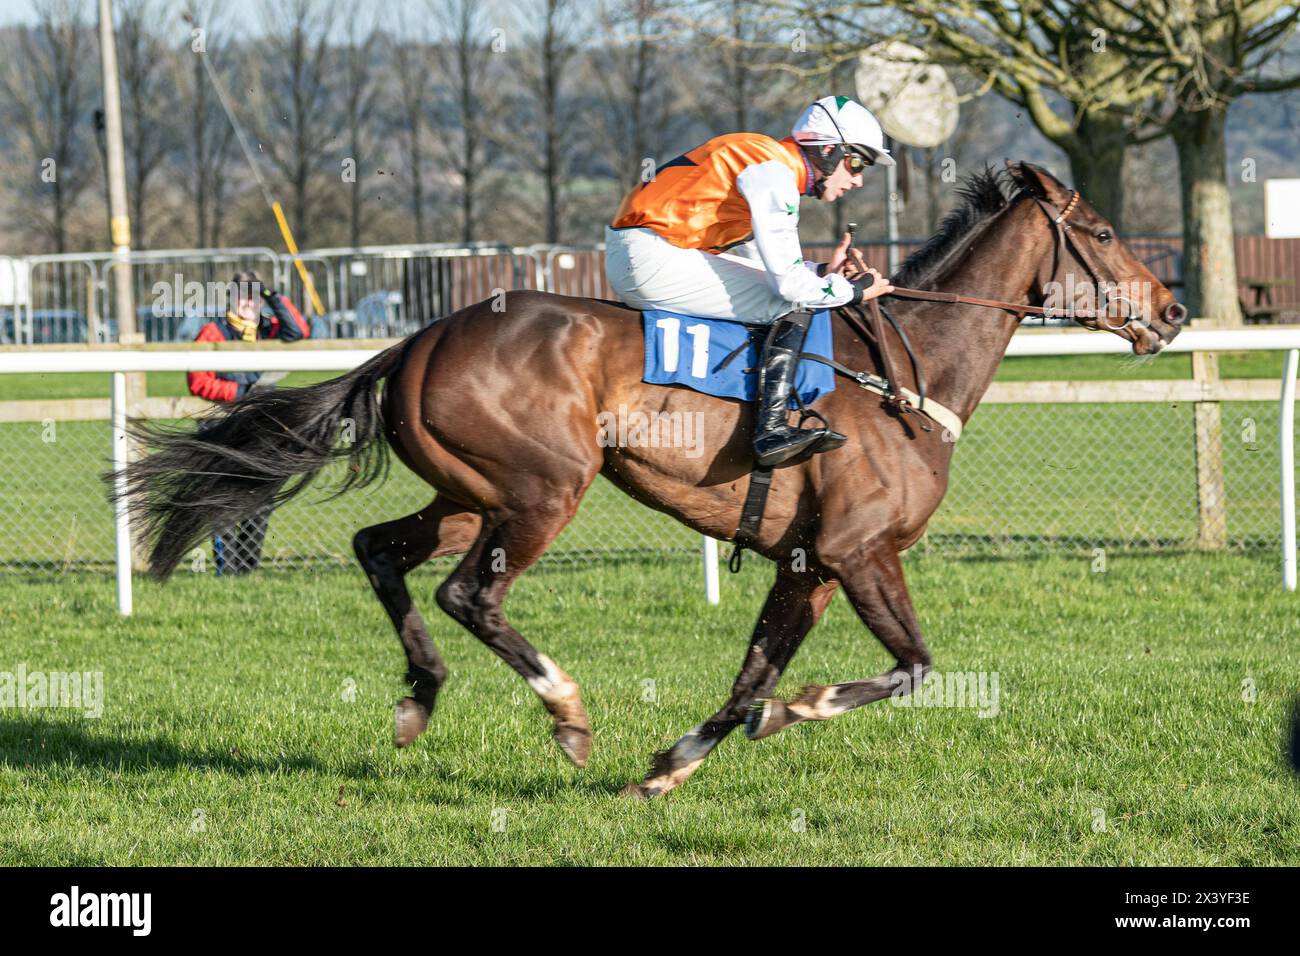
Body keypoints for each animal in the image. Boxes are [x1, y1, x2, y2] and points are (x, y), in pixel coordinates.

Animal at [116, 164, 1185, 801]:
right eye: (1101, 229)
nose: (1173, 311)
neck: (904, 376)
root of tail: (417, 339)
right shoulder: (859, 550)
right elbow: (911, 667)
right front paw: (784, 718)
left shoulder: (809, 562)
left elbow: (754, 671)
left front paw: (672, 766)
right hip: (545, 489)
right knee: (469, 594)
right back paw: (566, 711)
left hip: (468, 494)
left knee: (379, 550)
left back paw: (422, 694)